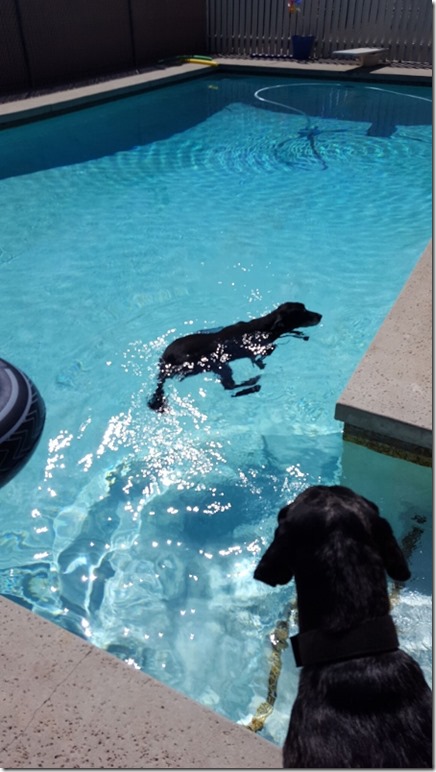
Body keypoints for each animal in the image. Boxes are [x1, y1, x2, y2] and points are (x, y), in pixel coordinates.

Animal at [148, 302, 322, 414]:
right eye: (303, 312)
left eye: (305, 308)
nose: (320, 315)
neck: (266, 326)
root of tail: (164, 361)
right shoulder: (255, 349)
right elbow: (263, 354)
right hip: (219, 366)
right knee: (229, 386)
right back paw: (253, 383)